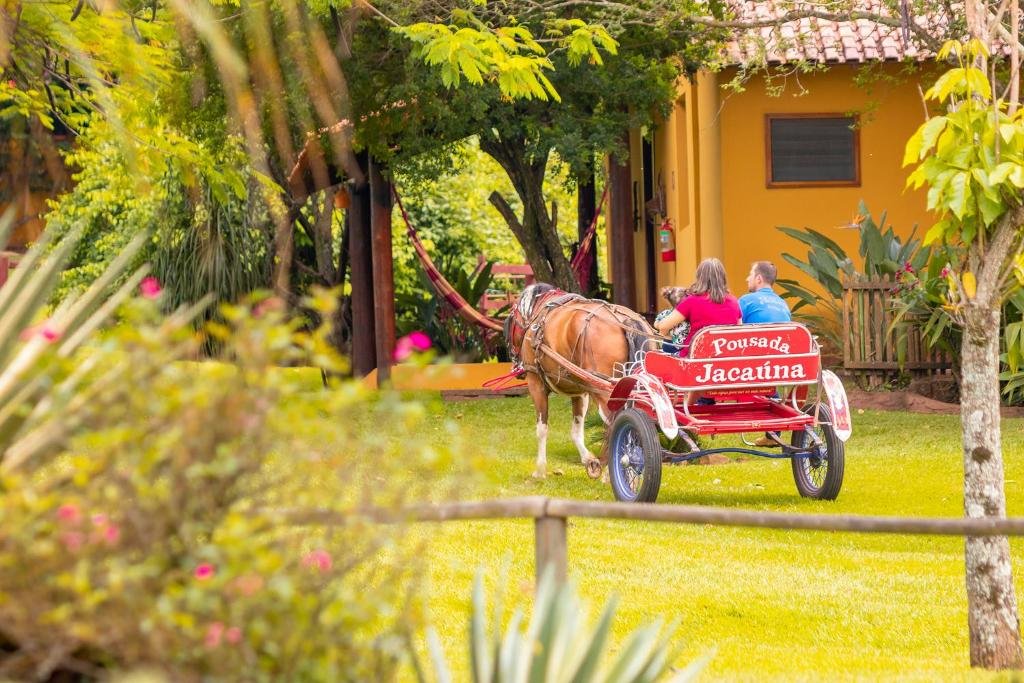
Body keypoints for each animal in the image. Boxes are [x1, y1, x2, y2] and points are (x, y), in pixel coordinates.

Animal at [503, 282, 655, 481]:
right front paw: (590, 461)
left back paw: (612, 473)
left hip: (604, 392)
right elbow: (576, 432)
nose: (515, 365)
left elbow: (542, 429)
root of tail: (626, 321)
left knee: (615, 423)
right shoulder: (580, 393)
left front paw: (540, 470)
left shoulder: (536, 384)